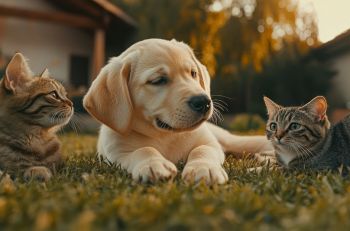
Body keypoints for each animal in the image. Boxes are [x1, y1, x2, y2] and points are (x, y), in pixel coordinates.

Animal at [83, 39, 272, 184]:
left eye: (193, 73)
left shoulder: (210, 143)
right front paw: (154, 165)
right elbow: (143, 150)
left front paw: (204, 169)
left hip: (228, 140)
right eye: (158, 80)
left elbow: (201, 150)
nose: (204, 102)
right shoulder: (116, 154)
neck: (165, 134)